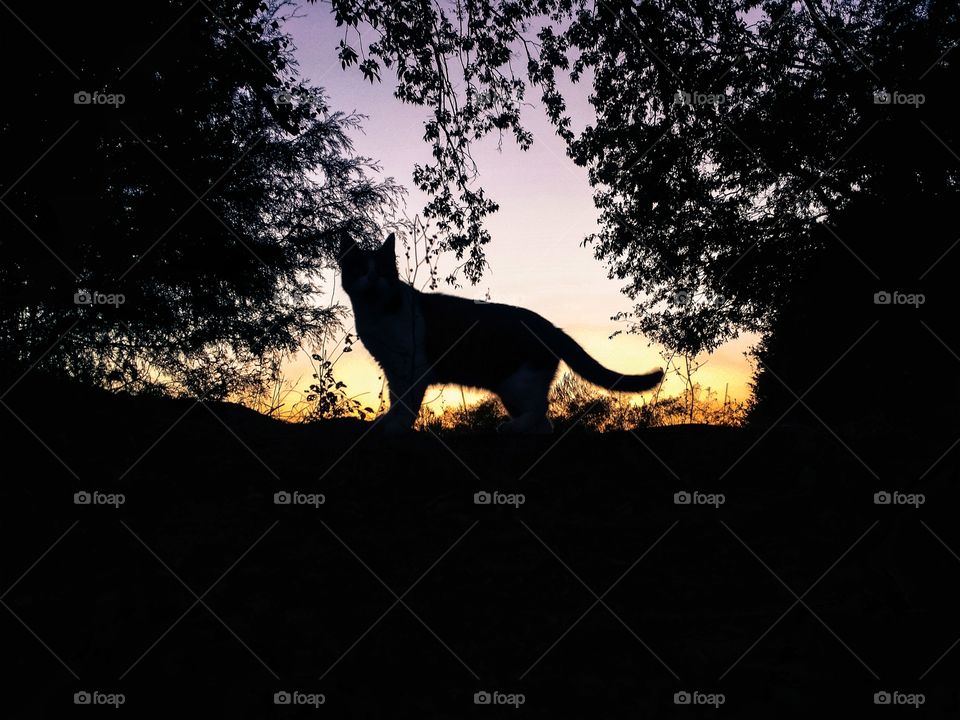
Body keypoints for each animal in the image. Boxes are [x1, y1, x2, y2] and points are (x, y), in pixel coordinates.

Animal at [342, 233, 664, 434]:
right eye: (359, 269)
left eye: (382, 270)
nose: (372, 278)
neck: (378, 314)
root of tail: (550, 325)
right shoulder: (392, 367)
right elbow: (396, 399)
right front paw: (387, 421)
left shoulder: (410, 367)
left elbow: (405, 403)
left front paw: (395, 426)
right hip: (514, 388)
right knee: (543, 422)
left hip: (518, 382)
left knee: (541, 410)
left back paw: (510, 427)